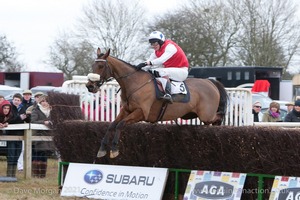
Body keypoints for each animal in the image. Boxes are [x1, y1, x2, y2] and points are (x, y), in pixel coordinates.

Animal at [86, 47, 227, 159]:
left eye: (101, 66)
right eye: (92, 66)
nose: (89, 86)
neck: (134, 82)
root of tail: (210, 82)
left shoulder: (141, 113)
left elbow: (120, 124)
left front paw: (114, 149)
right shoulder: (126, 110)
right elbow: (112, 125)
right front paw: (102, 148)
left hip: (206, 115)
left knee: (218, 117)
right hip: (191, 115)